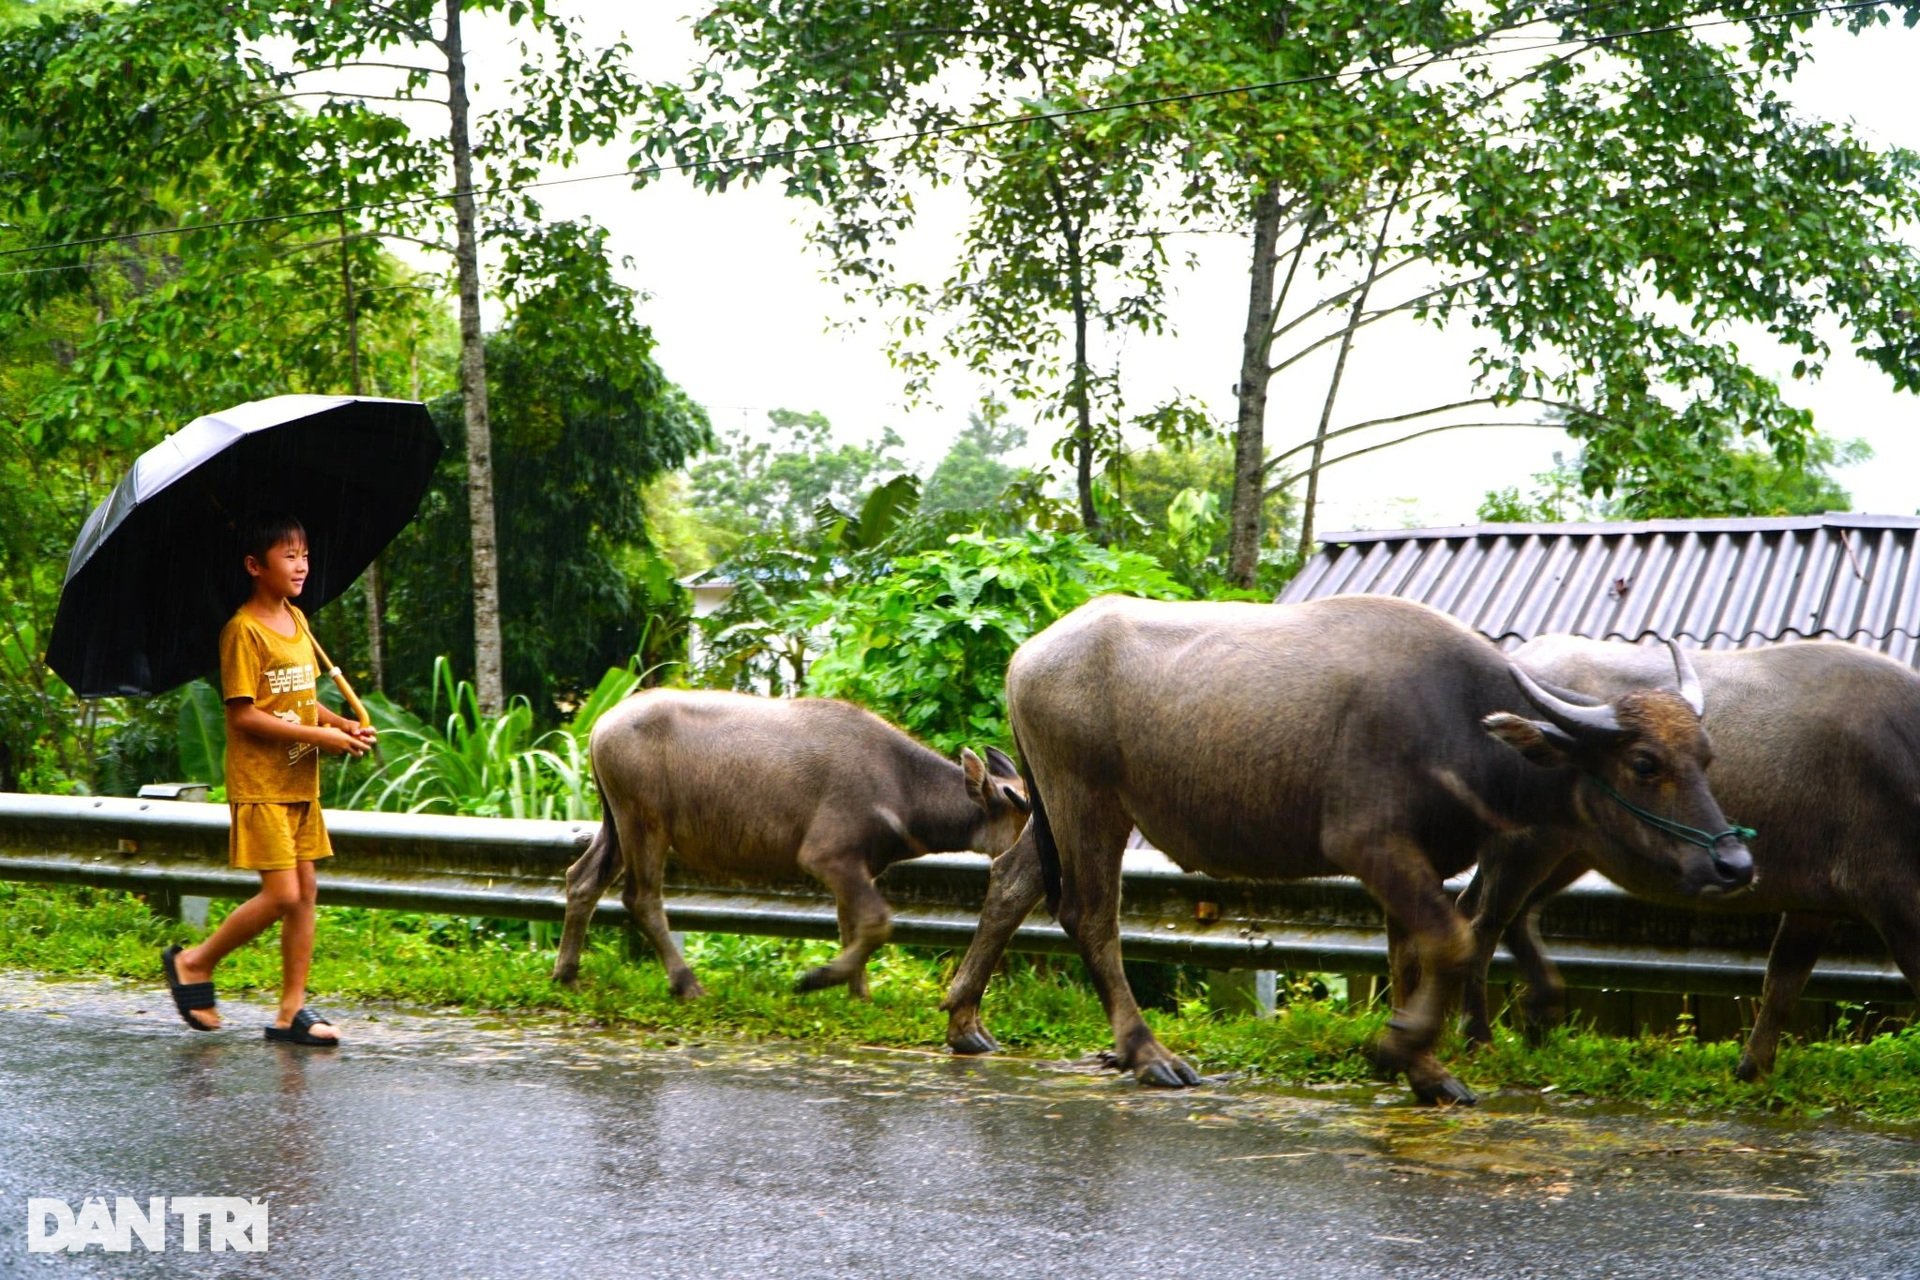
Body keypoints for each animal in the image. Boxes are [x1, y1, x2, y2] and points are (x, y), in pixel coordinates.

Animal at [552, 694, 1036, 997]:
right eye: (1024, 809)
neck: (903, 790)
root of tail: (598, 728)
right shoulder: (826, 856)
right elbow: (877, 922)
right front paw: (815, 979)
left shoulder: (856, 867)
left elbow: (851, 926)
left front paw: (858, 994)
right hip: (645, 823)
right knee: (641, 897)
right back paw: (687, 984)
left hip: (616, 823)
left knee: (582, 880)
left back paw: (567, 975)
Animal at [936, 594, 1751, 1105]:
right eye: (1644, 764)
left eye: (1706, 757)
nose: (1734, 864)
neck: (1459, 724)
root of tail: (1026, 658)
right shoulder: (1369, 844)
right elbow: (1455, 940)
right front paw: (1402, 1049)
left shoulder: (1415, 860)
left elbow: (1412, 954)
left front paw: (1424, 1066)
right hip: (1090, 801)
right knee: (1089, 915)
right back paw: (1149, 1054)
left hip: (1050, 806)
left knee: (1013, 882)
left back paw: (965, 1021)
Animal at [1459, 637, 1920, 1074]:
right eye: (1644, 764)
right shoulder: (1893, 900)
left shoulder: (1815, 909)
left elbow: (1781, 986)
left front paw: (1752, 1070)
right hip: (1524, 844)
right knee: (1485, 921)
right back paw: (1477, 1038)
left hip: (1572, 852)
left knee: (1507, 912)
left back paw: (1537, 1016)